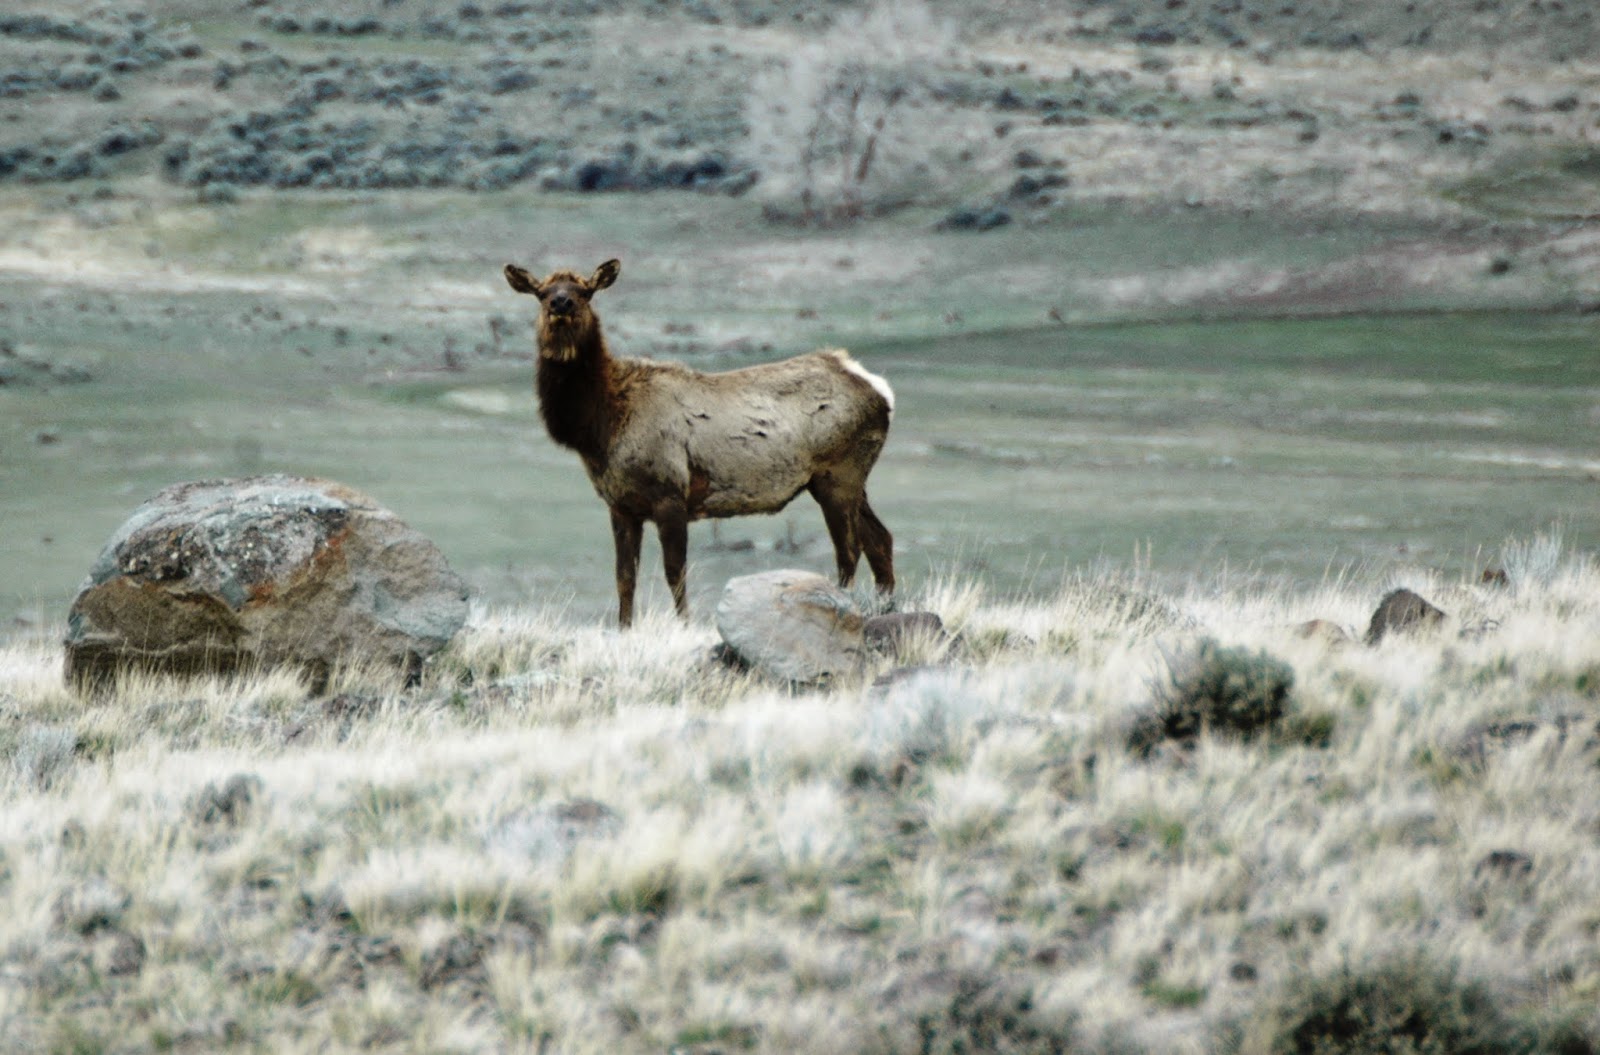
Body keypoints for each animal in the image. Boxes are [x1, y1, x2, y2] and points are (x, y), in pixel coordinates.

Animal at [503, 258, 895, 627]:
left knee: (849, 550)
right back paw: (884, 607)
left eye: (586, 291)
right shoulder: (620, 505)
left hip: (839, 472)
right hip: (848, 479)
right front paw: (624, 629)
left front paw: (684, 624)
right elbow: (624, 577)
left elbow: (675, 573)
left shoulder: (671, 494)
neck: (600, 427)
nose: (561, 303)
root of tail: (878, 388)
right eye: (541, 292)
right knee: (880, 540)